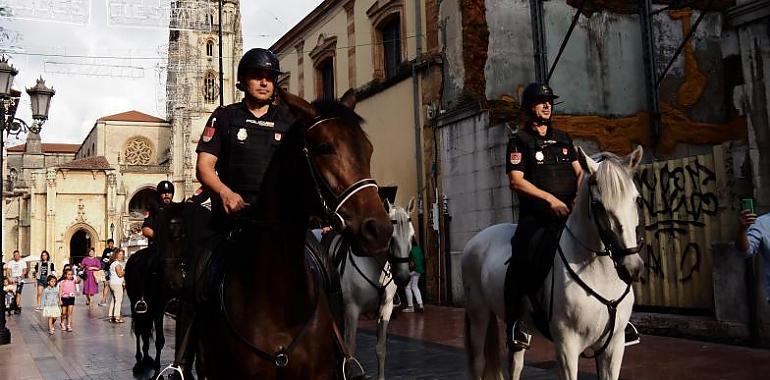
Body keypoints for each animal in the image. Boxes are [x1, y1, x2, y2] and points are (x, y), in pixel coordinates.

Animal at [318, 200, 414, 378]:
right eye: (390, 238)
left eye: (412, 237)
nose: (403, 277)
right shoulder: (351, 311)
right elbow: (349, 350)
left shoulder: (386, 309)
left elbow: (380, 348)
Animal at [462, 148, 640, 380]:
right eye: (597, 205)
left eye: (636, 199)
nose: (632, 267)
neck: (600, 275)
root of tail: (475, 240)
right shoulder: (567, 347)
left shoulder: (613, 346)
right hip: (479, 316)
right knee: (478, 362)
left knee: (515, 363)